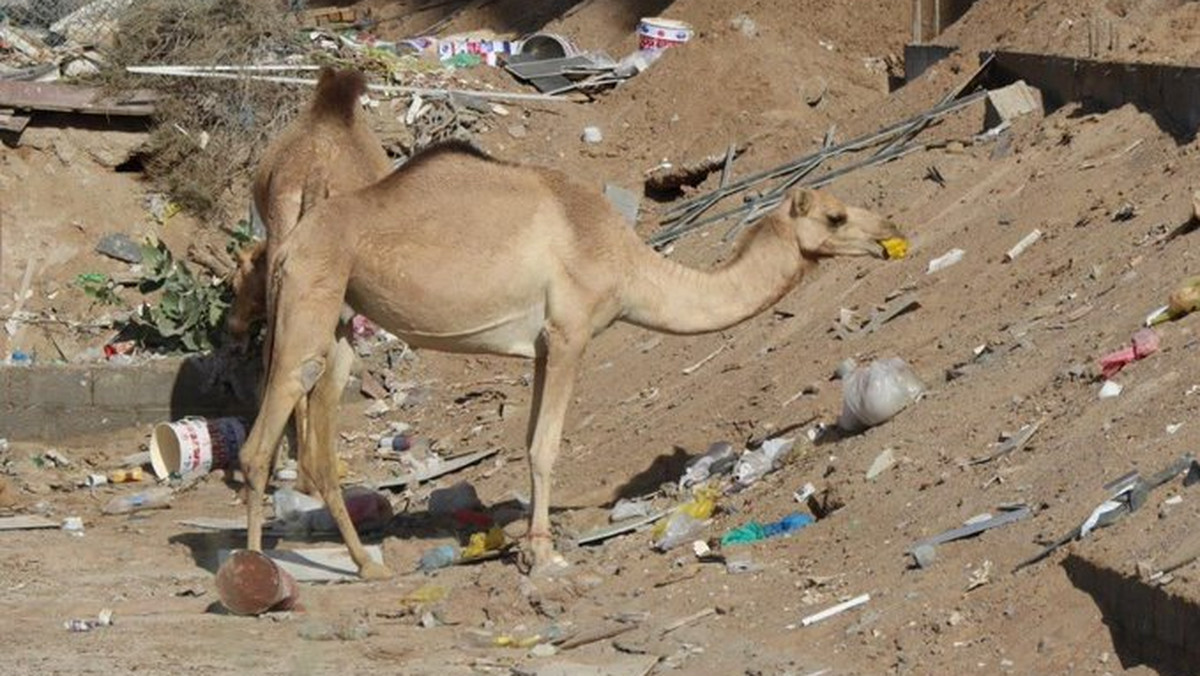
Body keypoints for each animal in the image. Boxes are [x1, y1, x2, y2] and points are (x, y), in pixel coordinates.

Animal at [238, 141, 902, 576]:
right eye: (836, 215)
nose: (887, 232)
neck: (629, 265)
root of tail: (291, 238)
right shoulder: (570, 331)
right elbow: (545, 445)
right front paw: (543, 551)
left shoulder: (540, 345)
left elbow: (531, 436)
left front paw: (531, 543)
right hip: (310, 293)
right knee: (263, 434)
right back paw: (254, 570)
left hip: (341, 319)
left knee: (319, 442)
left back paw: (366, 565)